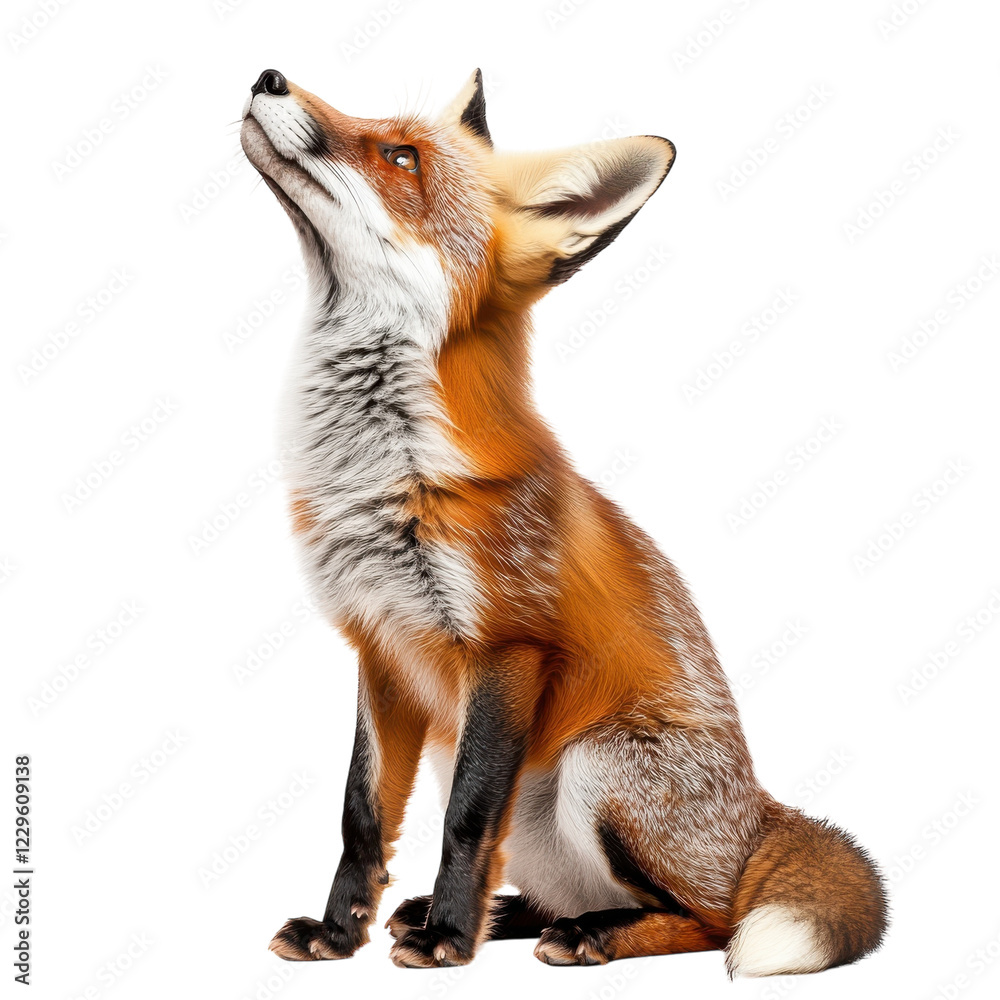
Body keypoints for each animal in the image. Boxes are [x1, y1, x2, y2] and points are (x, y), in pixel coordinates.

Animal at [239, 67, 887, 975]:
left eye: (401, 156)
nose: (268, 76)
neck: (379, 475)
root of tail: (761, 810)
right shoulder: (381, 647)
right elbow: (361, 816)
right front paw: (340, 935)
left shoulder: (507, 644)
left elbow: (468, 817)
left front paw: (448, 940)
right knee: (569, 888)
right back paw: (505, 916)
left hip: (592, 772)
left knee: (711, 917)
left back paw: (582, 935)